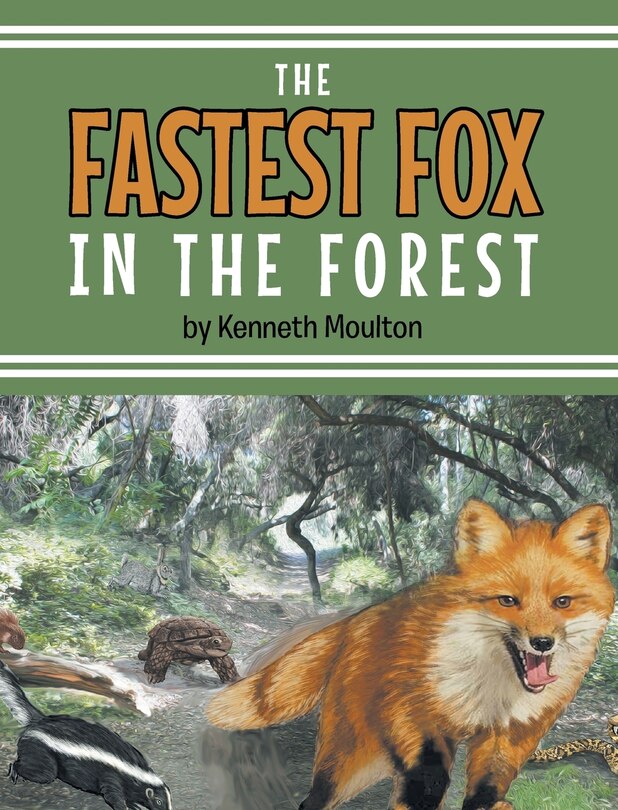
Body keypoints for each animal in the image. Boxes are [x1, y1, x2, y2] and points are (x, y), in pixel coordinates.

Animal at [206, 499, 616, 810]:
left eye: (562, 602)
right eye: (508, 601)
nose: (542, 642)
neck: (490, 689)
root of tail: (360, 618)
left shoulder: (512, 734)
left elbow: (486, 788)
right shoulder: (412, 709)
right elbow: (428, 774)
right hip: (354, 759)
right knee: (317, 799)